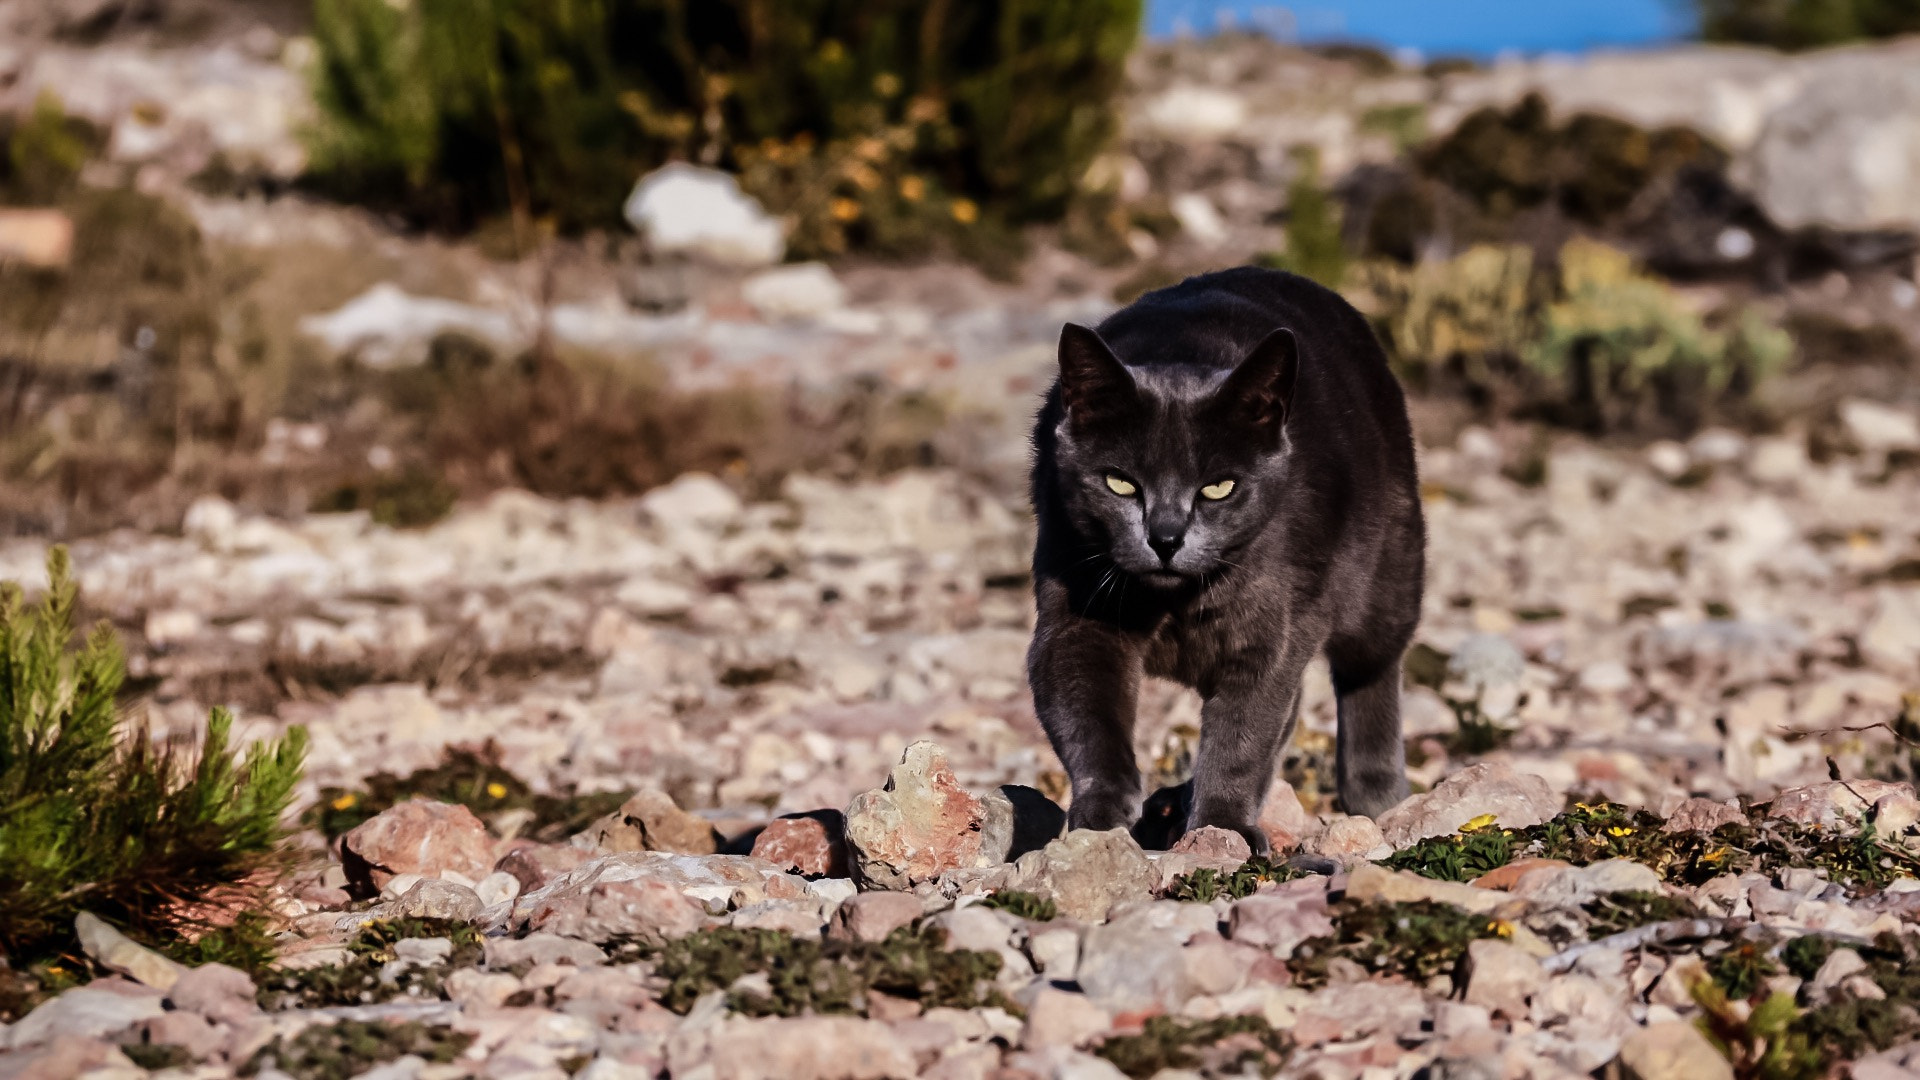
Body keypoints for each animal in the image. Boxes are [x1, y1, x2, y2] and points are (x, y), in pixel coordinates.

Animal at [1029, 263, 1420, 849]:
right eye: (1120, 483)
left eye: (1218, 488)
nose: (1166, 537)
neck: (1172, 604)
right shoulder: (1075, 619)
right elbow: (1088, 723)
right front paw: (1100, 824)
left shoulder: (1273, 630)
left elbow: (1243, 735)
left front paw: (1221, 829)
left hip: (1388, 576)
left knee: (1370, 670)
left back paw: (1375, 794)